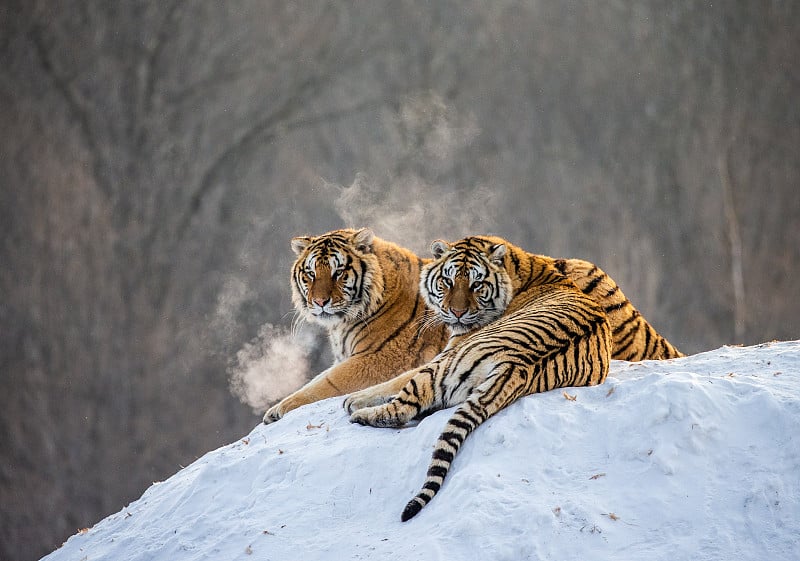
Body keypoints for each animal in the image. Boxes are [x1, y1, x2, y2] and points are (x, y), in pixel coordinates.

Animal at [262, 225, 450, 422]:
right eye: (311, 274)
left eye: (338, 272)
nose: (320, 302)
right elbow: (316, 379)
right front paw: (274, 409)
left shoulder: (378, 357)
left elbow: (327, 382)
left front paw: (283, 407)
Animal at [346, 235, 680, 520]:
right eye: (448, 280)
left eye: (477, 284)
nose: (456, 313)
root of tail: (516, 366)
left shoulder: (446, 351)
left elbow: (393, 380)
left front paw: (352, 399)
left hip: (443, 367)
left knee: (402, 408)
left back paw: (361, 415)